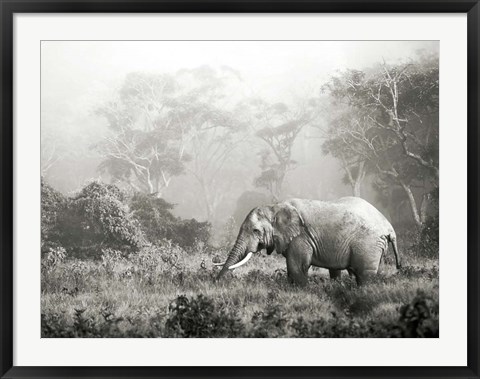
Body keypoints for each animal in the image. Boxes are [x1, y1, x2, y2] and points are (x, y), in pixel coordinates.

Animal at [215, 197, 402, 286]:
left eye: (255, 231)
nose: (216, 282)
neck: (275, 206)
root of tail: (389, 227)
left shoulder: (301, 237)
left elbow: (297, 267)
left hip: (368, 244)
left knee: (364, 275)